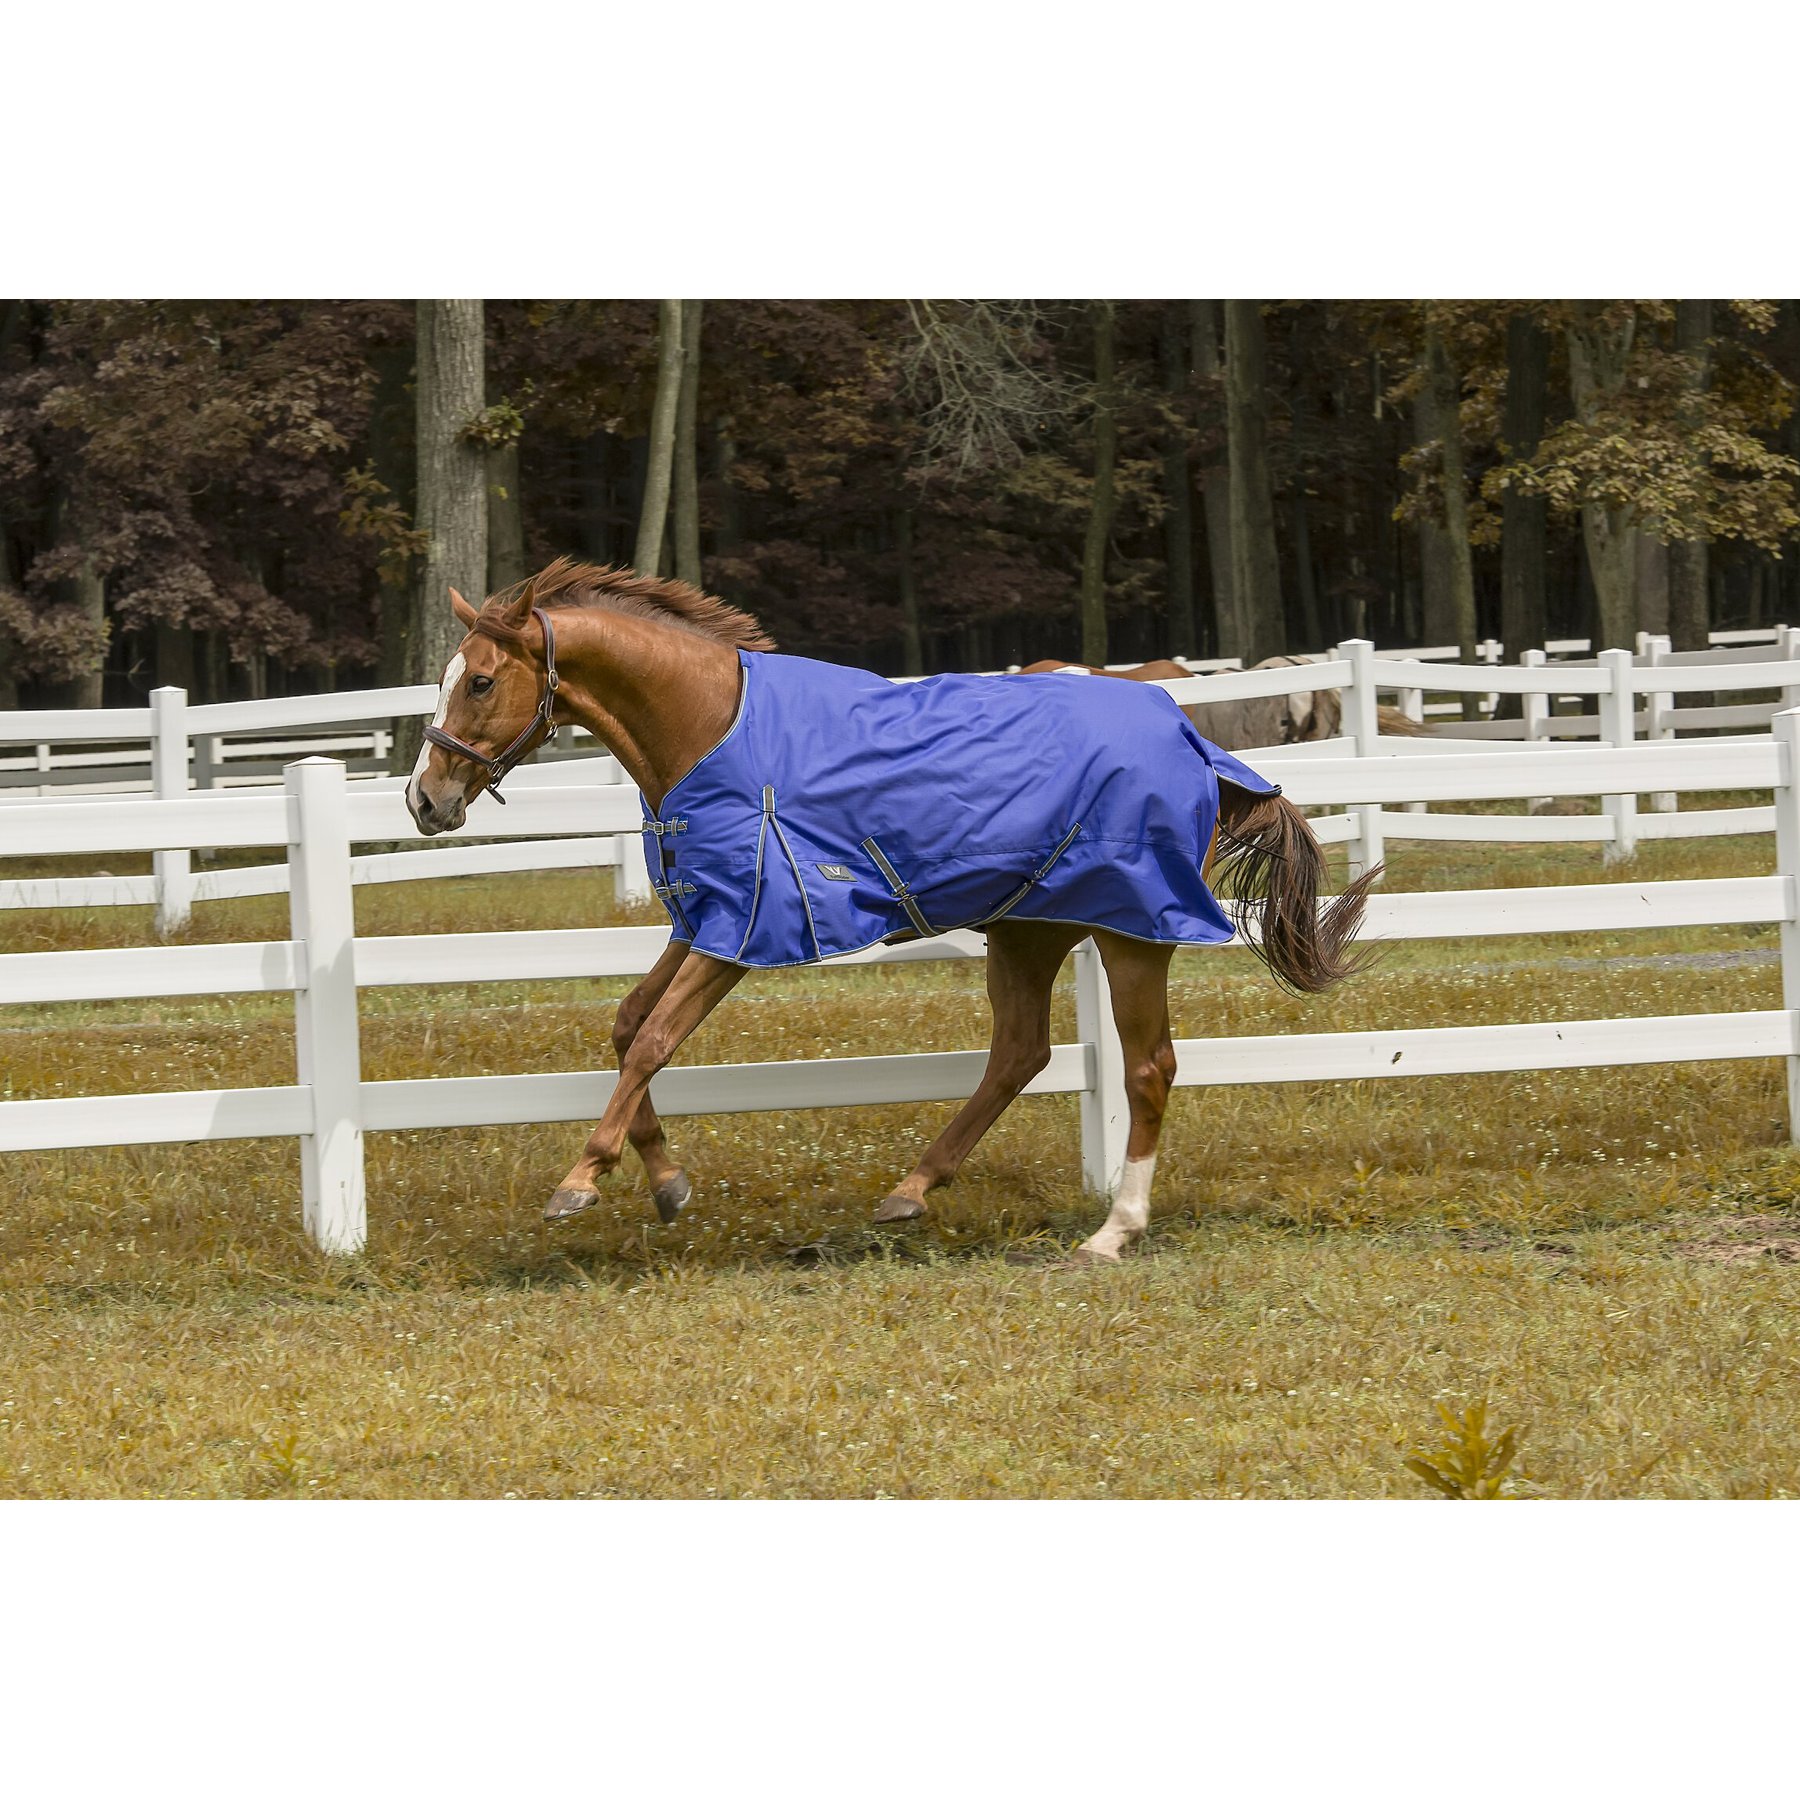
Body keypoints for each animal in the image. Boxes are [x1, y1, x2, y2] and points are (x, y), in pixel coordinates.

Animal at [406, 559, 1376, 1263]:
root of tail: (1194, 737)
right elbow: (625, 1024)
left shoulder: (741, 932)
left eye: (481, 681)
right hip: (1028, 933)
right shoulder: (700, 920)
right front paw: (665, 1179)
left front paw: (581, 1179)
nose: (425, 799)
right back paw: (911, 1189)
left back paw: (1114, 1231)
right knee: (1019, 1055)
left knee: (1147, 1070)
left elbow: (651, 1041)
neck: (712, 726)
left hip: (1130, 931)